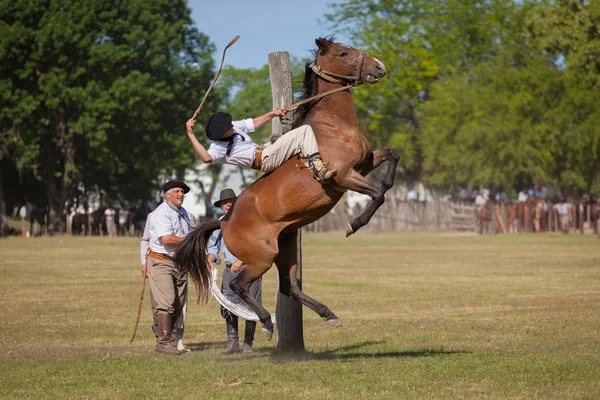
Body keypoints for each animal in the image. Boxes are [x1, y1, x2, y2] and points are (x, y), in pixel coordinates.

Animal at [173, 37, 398, 340]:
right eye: (343, 52)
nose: (379, 66)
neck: (332, 125)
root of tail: (224, 221)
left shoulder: (365, 163)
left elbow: (392, 158)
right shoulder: (343, 176)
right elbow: (377, 195)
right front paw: (354, 224)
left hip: (286, 247)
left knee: (288, 286)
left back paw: (329, 315)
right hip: (262, 257)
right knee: (239, 285)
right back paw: (267, 323)